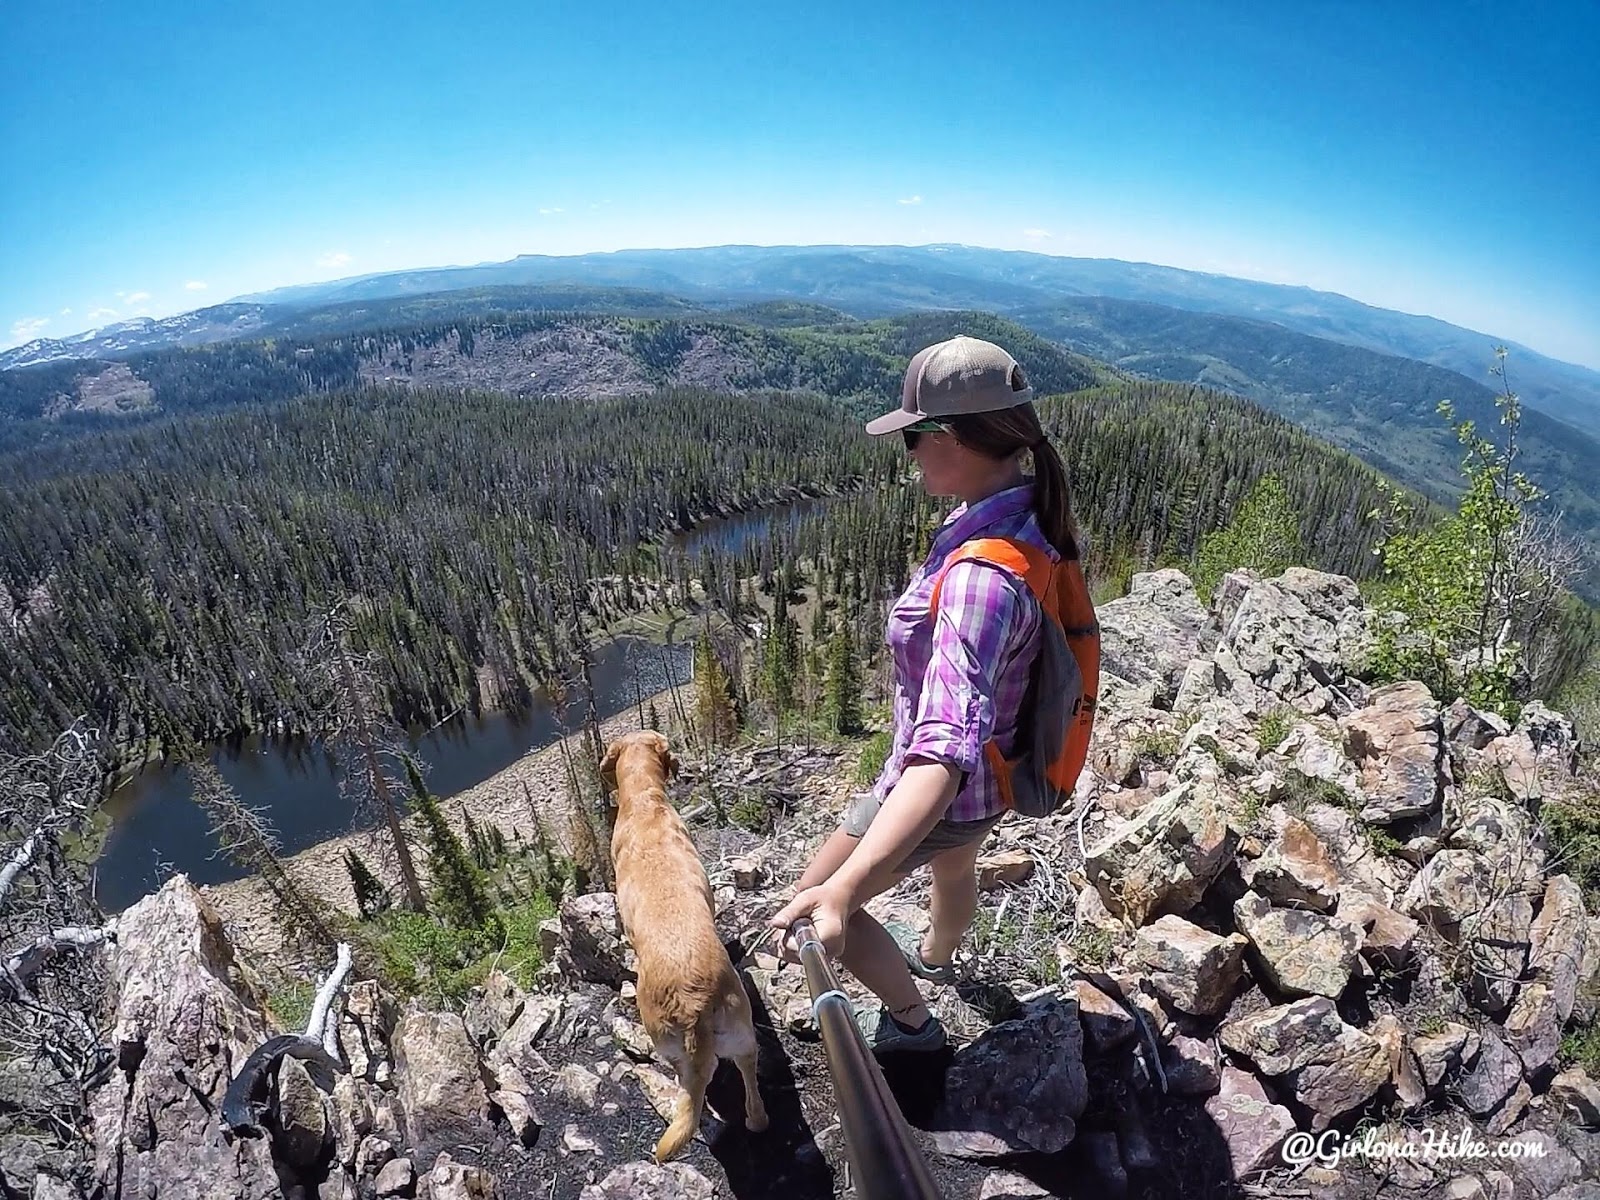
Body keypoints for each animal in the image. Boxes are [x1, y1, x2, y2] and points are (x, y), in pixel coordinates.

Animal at [601, 732, 771, 1164]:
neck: (644, 800)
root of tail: (691, 1005)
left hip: (675, 1044)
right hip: (739, 1033)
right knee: (748, 1079)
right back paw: (756, 1120)